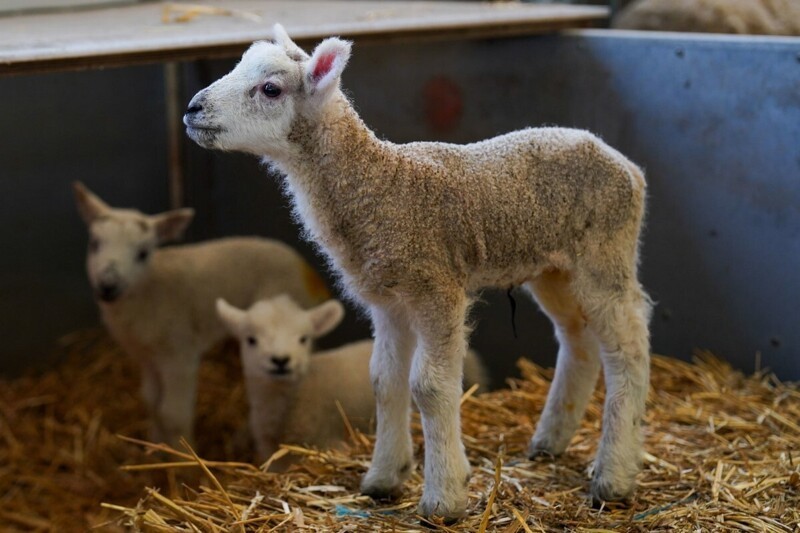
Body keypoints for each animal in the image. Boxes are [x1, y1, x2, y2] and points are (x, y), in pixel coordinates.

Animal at [71, 181, 328, 446]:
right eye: (94, 244)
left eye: (142, 253)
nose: (108, 285)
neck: (150, 289)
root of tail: (309, 273)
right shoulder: (147, 356)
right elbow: (151, 402)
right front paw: (155, 444)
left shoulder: (179, 353)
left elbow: (172, 415)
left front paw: (183, 452)